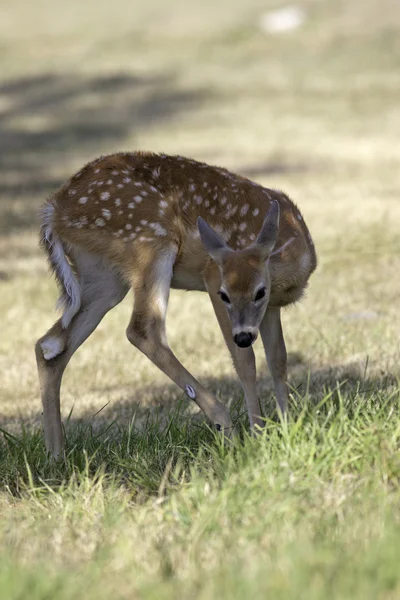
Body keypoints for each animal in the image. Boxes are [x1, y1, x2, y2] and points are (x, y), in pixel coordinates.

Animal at [36, 152, 316, 458]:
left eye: (260, 292)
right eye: (224, 295)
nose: (243, 336)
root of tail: (52, 211)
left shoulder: (269, 309)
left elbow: (278, 359)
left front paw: (287, 427)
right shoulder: (212, 276)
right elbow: (246, 361)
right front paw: (258, 436)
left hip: (103, 280)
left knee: (50, 346)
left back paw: (56, 455)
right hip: (150, 240)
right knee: (143, 329)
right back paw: (225, 426)